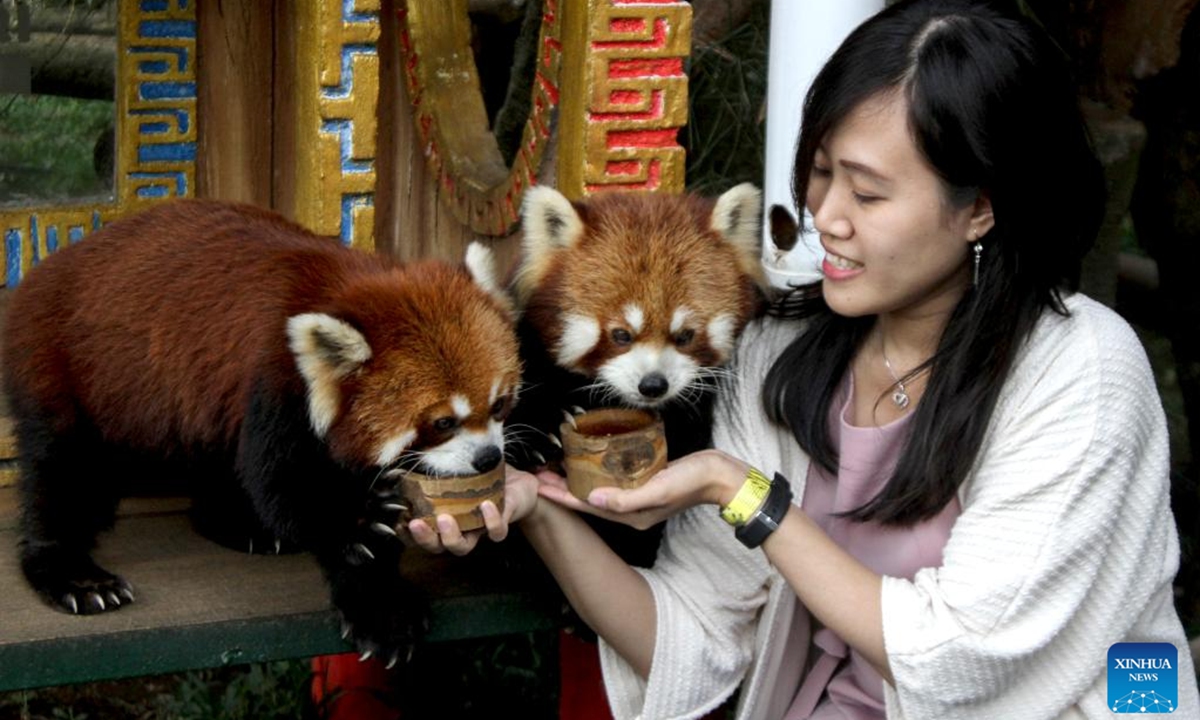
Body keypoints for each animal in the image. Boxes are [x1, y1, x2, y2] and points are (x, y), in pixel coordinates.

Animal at [3, 198, 520, 662]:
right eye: (442, 422)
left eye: (499, 404)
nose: (488, 458)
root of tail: (41, 273)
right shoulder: (275, 383)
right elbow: (289, 485)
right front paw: (359, 525)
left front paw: (381, 606)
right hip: (60, 366)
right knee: (63, 473)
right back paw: (74, 575)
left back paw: (238, 524)